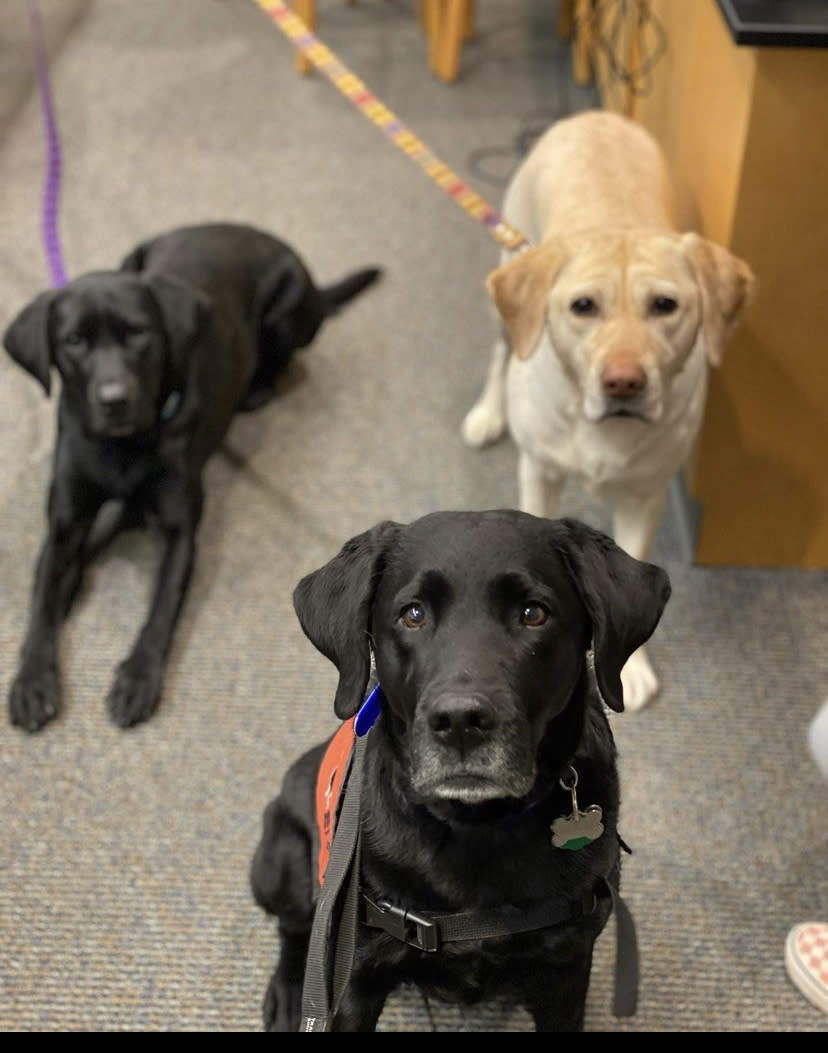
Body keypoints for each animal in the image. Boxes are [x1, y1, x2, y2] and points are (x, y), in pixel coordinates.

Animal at [4, 222, 381, 732]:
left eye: (138, 334)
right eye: (74, 341)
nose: (115, 400)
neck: (124, 449)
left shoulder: (179, 532)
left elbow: (161, 610)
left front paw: (138, 679)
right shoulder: (65, 523)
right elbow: (44, 598)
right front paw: (31, 678)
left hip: (286, 313)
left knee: (281, 363)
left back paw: (257, 388)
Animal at [248, 507, 665, 1027]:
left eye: (533, 613)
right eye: (413, 614)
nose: (461, 722)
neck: (476, 826)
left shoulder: (566, 974)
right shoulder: (356, 981)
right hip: (281, 860)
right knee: (293, 928)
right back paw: (288, 991)